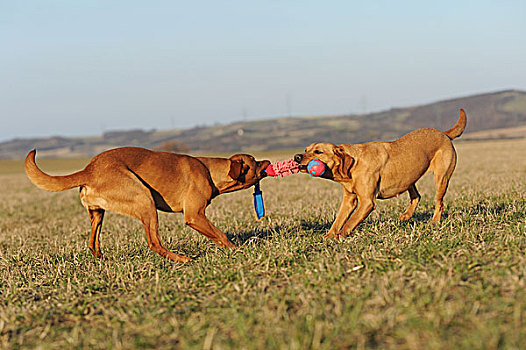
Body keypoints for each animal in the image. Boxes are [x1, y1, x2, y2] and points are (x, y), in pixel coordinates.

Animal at [24, 146, 270, 262]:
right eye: (254, 162)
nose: (268, 161)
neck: (209, 171)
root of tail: (88, 170)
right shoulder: (194, 215)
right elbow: (220, 235)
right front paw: (236, 250)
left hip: (98, 214)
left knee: (93, 243)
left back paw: (101, 258)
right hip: (144, 198)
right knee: (154, 242)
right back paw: (182, 259)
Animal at [294, 108, 468, 237]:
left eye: (318, 152)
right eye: (306, 149)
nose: (297, 157)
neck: (353, 165)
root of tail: (444, 133)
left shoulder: (366, 202)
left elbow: (350, 222)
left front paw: (341, 236)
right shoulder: (349, 200)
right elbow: (338, 220)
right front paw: (329, 237)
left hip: (441, 178)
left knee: (439, 203)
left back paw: (434, 221)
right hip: (408, 178)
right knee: (417, 196)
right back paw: (406, 216)